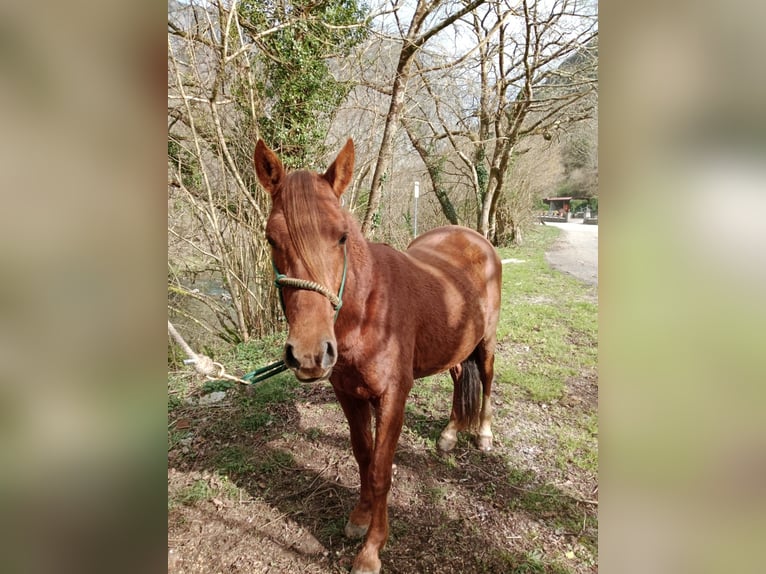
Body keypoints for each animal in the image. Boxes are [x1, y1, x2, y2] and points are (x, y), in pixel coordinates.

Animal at [254, 140, 504, 574]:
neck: (368, 312)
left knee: (486, 381)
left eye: (340, 236)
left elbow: (382, 470)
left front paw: (371, 550)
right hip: (455, 346)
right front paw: (359, 517)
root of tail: (474, 237)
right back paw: (450, 433)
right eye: (271, 238)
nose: (309, 354)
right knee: (460, 379)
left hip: (485, 343)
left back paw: (483, 435)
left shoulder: (392, 398)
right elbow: (363, 457)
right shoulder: (349, 395)